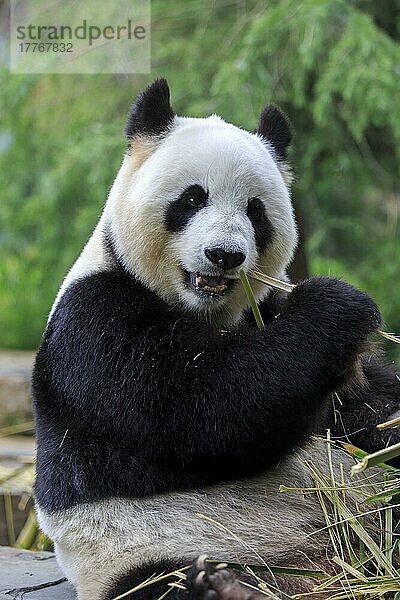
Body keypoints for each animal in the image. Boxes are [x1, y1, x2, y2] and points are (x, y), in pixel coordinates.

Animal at [32, 81, 400, 600]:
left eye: (256, 211)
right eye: (192, 199)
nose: (224, 255)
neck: (203, 311)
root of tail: (317, 572)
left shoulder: (263, 311)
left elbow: (361, 411)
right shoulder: (93, 323)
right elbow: (200, 409)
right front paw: (340, 306)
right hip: (142, 548)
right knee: (160, 583)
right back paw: (222, 586)